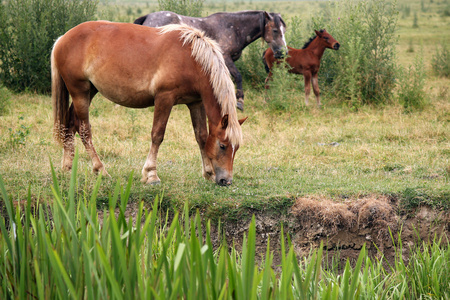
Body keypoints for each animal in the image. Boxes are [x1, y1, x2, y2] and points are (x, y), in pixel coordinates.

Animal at [51, 21, 246, 185]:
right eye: (223, 146)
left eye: (236, 148)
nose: (226, 181)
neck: (191, 58)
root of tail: (63, 38)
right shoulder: (164, 98)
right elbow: (157, 135)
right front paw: (151, 175)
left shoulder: (195, 103)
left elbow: (201, 136)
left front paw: (208, 173)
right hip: (79, 92)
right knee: (84, 130)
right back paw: (100, 170)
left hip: (89, 91)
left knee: (70, 124)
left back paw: (67, 168)